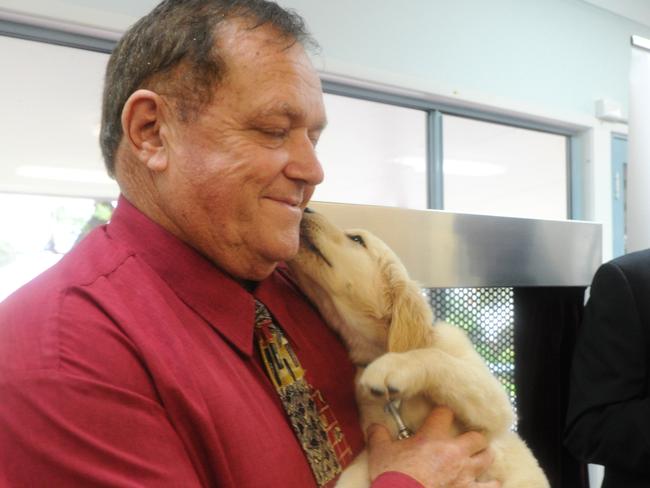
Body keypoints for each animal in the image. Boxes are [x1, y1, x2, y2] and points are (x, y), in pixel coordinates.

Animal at [288, 210, 548, 488]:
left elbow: (439, 359)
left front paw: (395, 366)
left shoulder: (494, 409)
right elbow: (357, 472)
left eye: (356, 239)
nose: (306, 210)